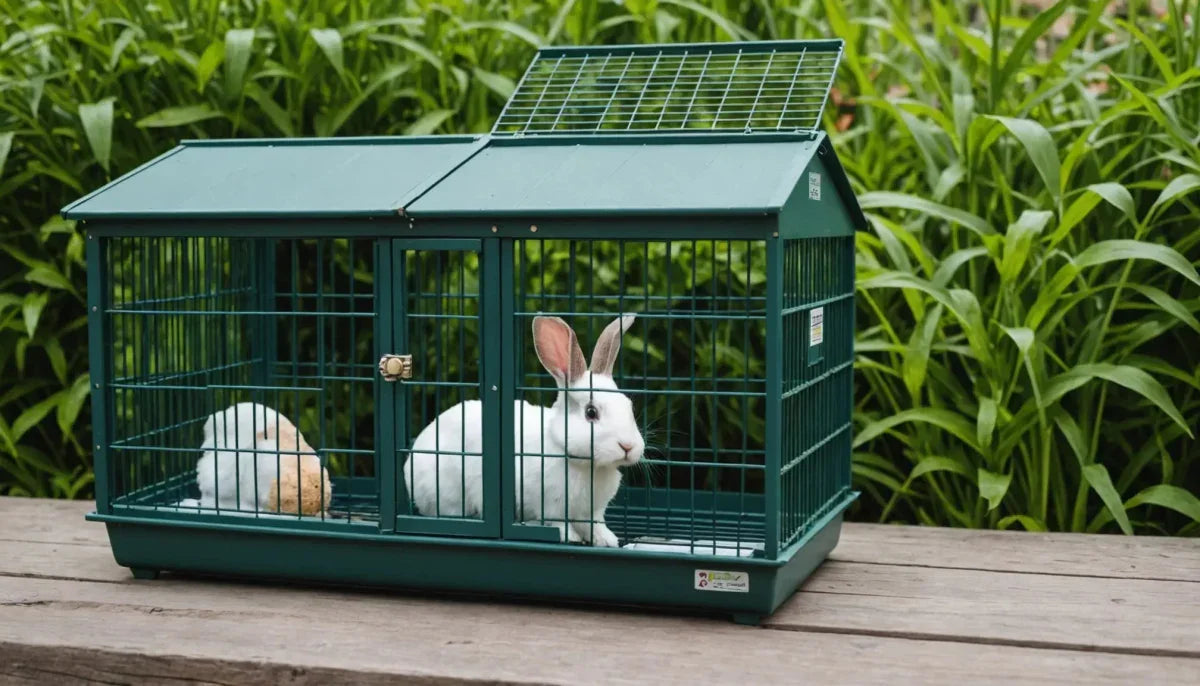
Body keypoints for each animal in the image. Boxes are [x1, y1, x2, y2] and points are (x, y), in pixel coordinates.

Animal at [404, 314, 645, 547]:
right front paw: (570, 537)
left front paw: (607, 540)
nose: (628, 446)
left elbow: (595, 525)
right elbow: (558, 523)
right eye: (591, 412)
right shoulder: (550, 504)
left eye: (629, 406)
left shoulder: (592, 512)